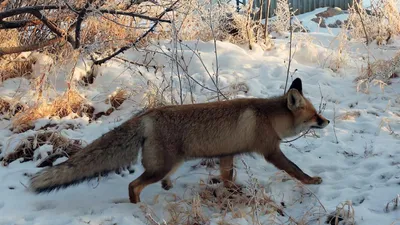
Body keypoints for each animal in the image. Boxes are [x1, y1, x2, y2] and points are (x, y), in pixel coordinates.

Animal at [27, 78, 328, 203]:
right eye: (315, 115)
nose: (326, 122)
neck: (269, 117)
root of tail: (147, 115)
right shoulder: (271, 151)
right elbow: (295, 170)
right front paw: (312, 181)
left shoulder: (226, 154)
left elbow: (227, 177)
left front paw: (232, 191)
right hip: (160, 166)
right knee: (133, 185)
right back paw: (138, 208)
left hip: (171, 163)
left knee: (155, 181)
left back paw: (168, 187)